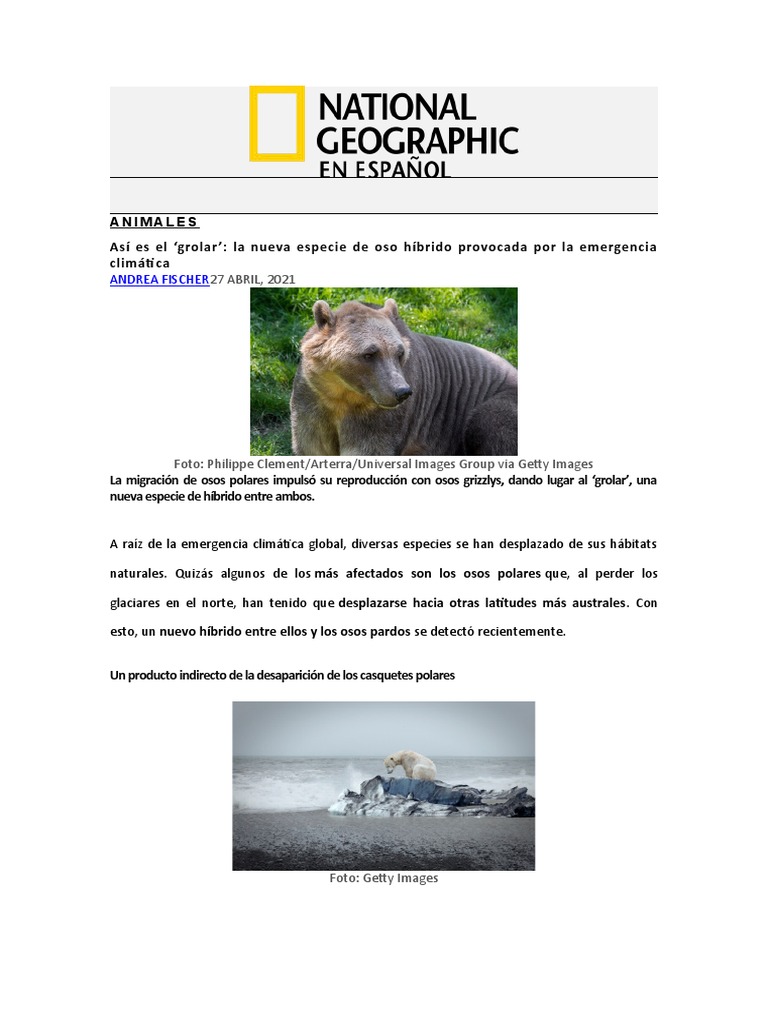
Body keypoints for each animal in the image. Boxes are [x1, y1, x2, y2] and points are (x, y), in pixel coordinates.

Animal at [290, 299, 517, 456]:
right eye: (369, 353)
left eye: (399, 353)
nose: (402, 392)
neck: (342, 394)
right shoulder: (312, 402)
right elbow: (312, 446)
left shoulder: (380, 420)